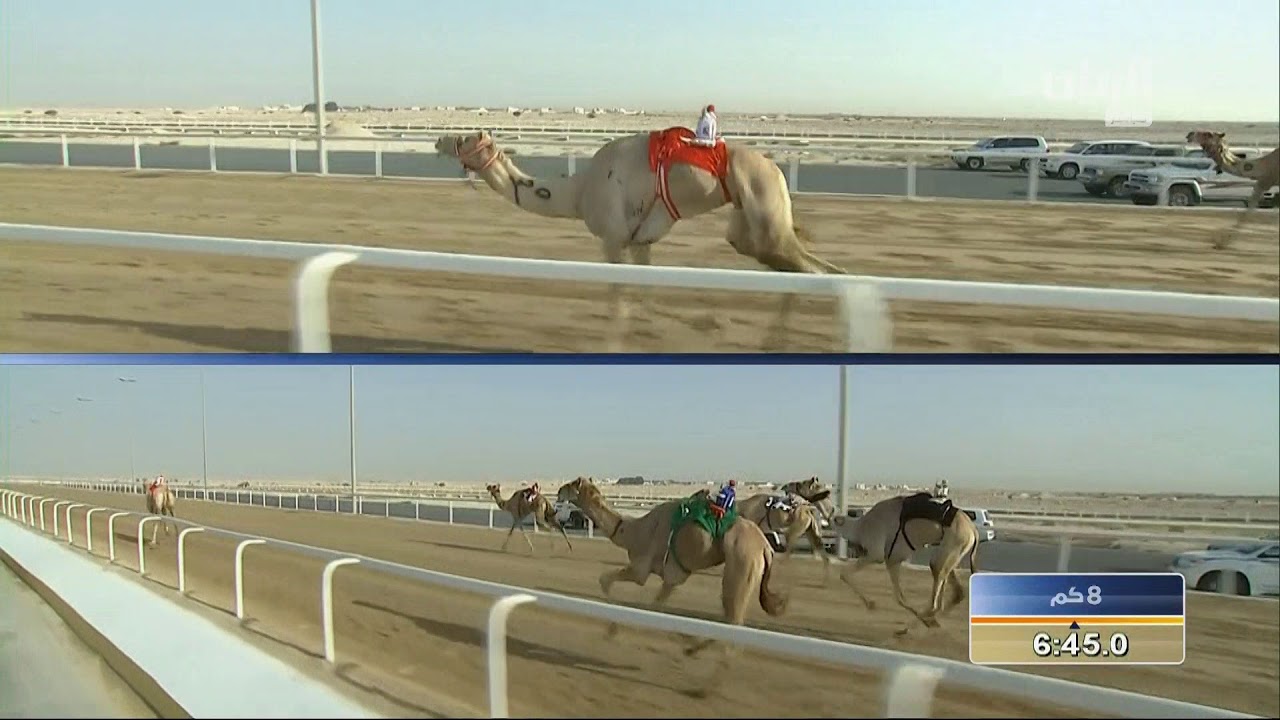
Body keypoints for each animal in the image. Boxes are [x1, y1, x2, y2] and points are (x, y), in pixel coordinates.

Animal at [435, 129, 847, 351]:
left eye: (465, 139)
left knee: (815, 268)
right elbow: (645, 297)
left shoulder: (613, 240)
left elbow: (619, 301)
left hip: (763, 207)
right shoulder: (640, 242)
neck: (578, 192)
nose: (440, 140)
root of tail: (776, 169)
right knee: (798, 263)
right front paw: (658, 331)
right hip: (749, 226)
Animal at [555, 476, 788, 687]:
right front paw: (687, 644)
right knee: (731, 623)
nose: (558, 491)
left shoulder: (641, 570)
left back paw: (703, 689)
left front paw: (613, 629)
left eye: (572, 484)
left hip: (739, 568)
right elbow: (658, 608)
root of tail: (765, 548)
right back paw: (694, 652)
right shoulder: (673, 578)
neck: (632, 530)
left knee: (733, 628)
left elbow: (608, 581)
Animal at [828, 492, 980, 635]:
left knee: (936, 600)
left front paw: (871, 604)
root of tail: (973, 530)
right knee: (956, 592)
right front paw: (872, 604)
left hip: (952, 545)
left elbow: (844, 574)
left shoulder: (876, 554)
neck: (859, 527)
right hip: (953, 553)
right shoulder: (892, 561)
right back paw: (922, 624)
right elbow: (900, 598)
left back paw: (916, 625)